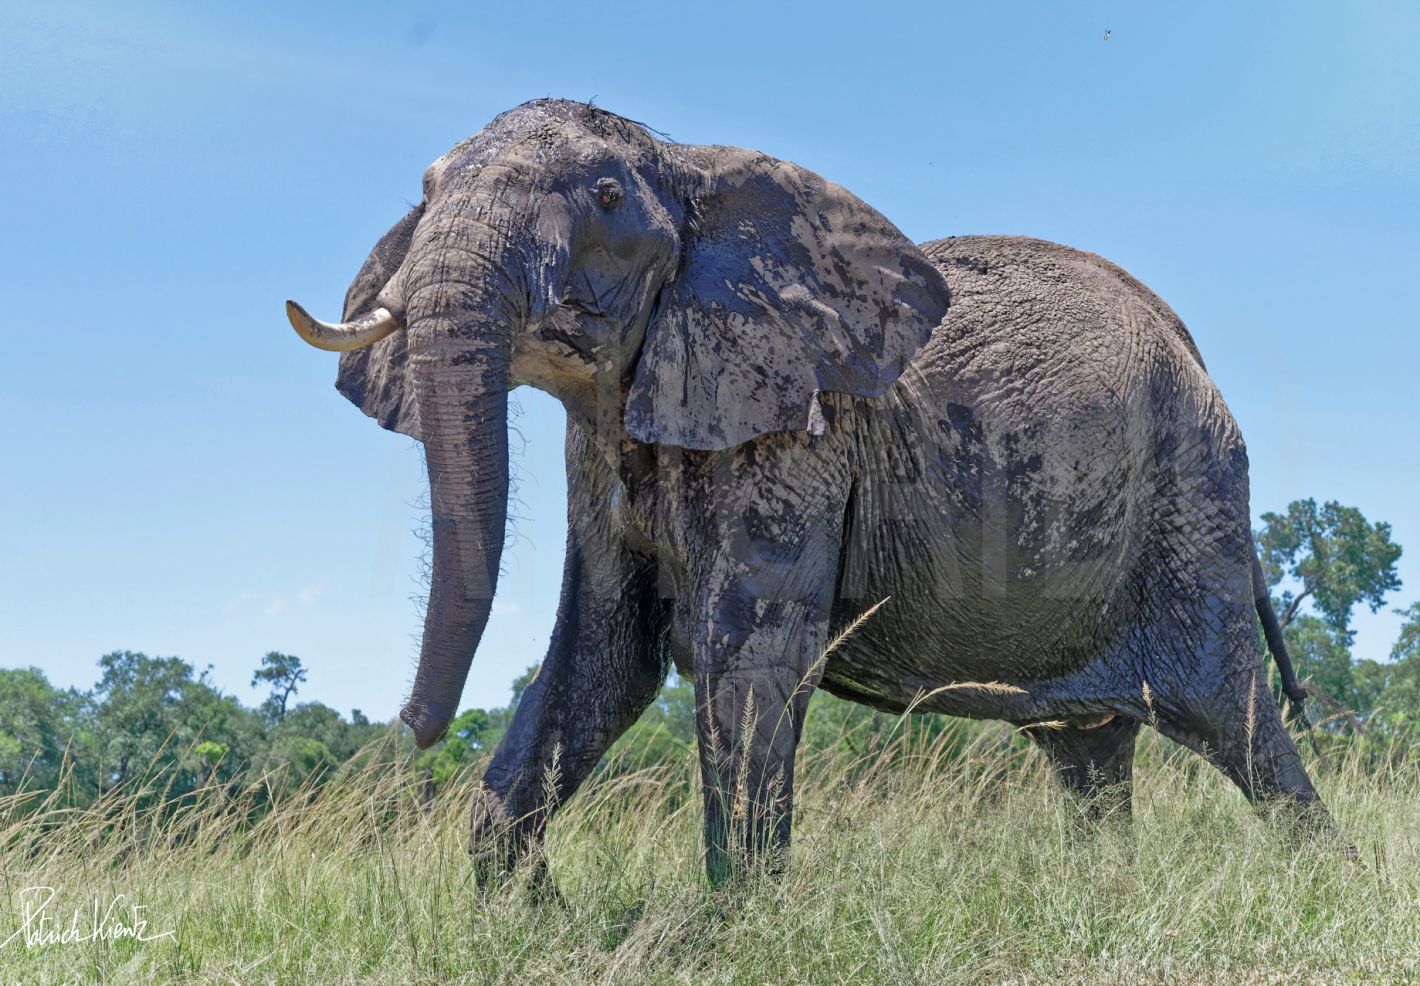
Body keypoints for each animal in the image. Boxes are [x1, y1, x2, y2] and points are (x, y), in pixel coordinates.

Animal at [285, 102, 1329, 886]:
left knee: (1239, 726)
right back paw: (1104, 894)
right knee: (1087, 750)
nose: (408, 729)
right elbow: (600, 658)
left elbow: (746, 662)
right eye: (423, 192)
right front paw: (527, 919)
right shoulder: (610, 439)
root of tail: (1196, 353)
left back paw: (1326, 886)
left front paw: (729, 933)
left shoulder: (794, 441)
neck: (688, 165)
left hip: (1191, 496)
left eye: (608, 198)